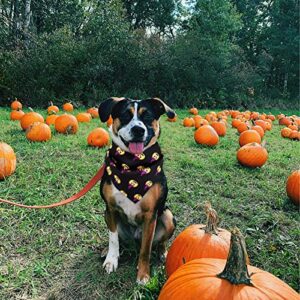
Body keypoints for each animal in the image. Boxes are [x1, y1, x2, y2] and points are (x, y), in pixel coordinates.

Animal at [98, 98, 177, 284]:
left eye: (147, 116)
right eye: (125, 115)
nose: (138, 130)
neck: (133, 164)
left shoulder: (150, 216)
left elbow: (145, 250)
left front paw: (143, 275)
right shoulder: (110, 209)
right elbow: (113, 239)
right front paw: (111, 260)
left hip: (168, 215)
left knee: (160, 242)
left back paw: (163, 253)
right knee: (119, 239)